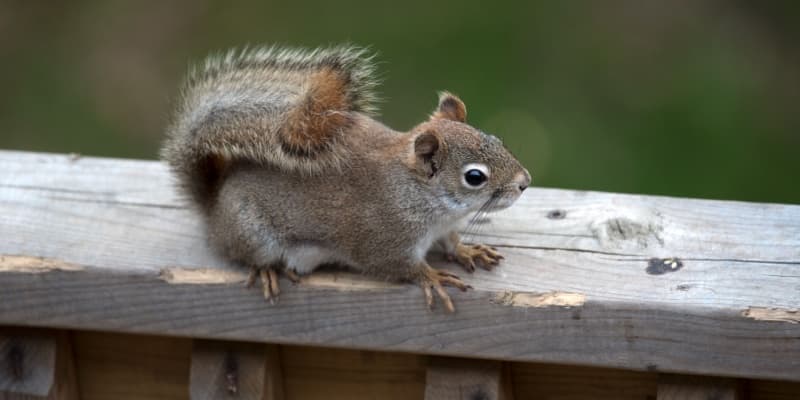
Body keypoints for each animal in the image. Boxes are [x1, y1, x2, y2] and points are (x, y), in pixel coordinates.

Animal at [161, 45, 531, 312]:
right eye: (474, 177)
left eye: (497, 139)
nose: (524, 182)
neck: (423, 195)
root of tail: (214, 205)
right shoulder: (384, 236)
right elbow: (397, 265)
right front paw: (433, 276)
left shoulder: (443, 227)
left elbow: (452, 241)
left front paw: (468, 250)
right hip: (251, 234)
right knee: (245, 255)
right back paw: (267, 270)